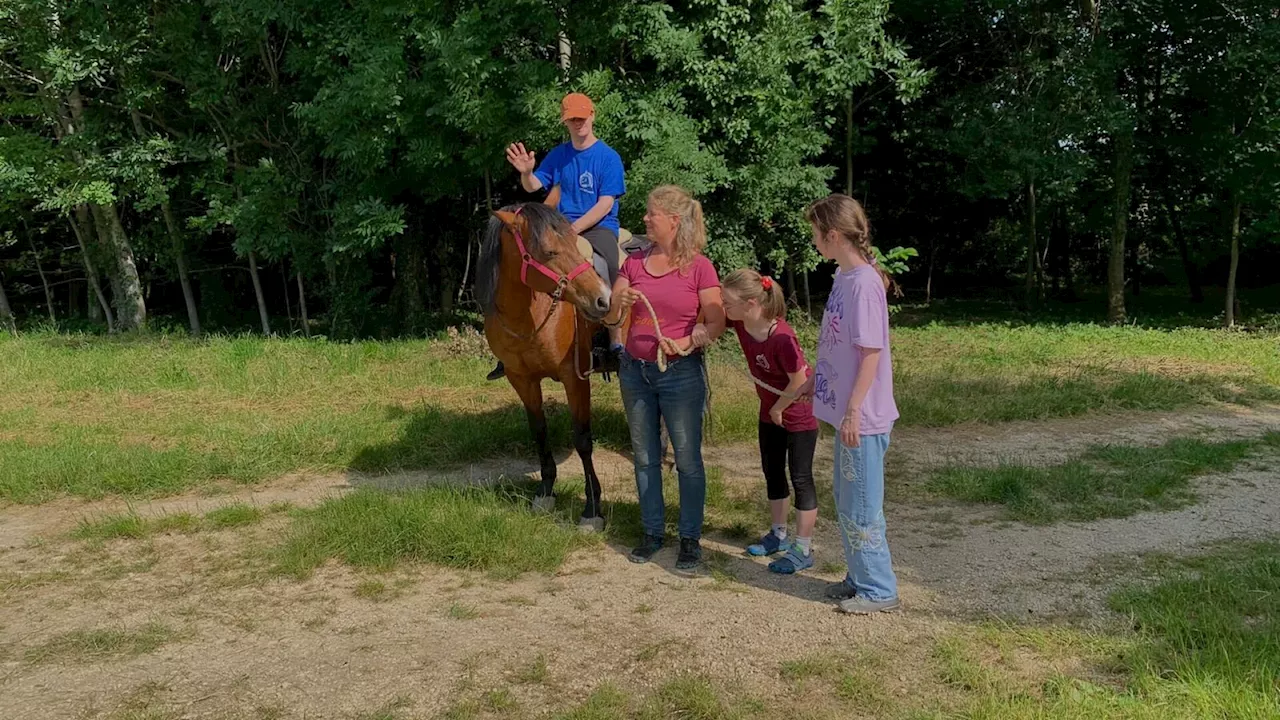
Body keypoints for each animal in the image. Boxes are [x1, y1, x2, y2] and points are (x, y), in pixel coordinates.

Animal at [476, 199, 609, 527]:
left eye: (573, 242)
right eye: (549, 252)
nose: (603, 299)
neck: (530, 318)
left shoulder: (575, 378)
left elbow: (582, 438)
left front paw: (592, 507)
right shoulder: (521, 379)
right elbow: (538, 431)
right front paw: (546, 490)